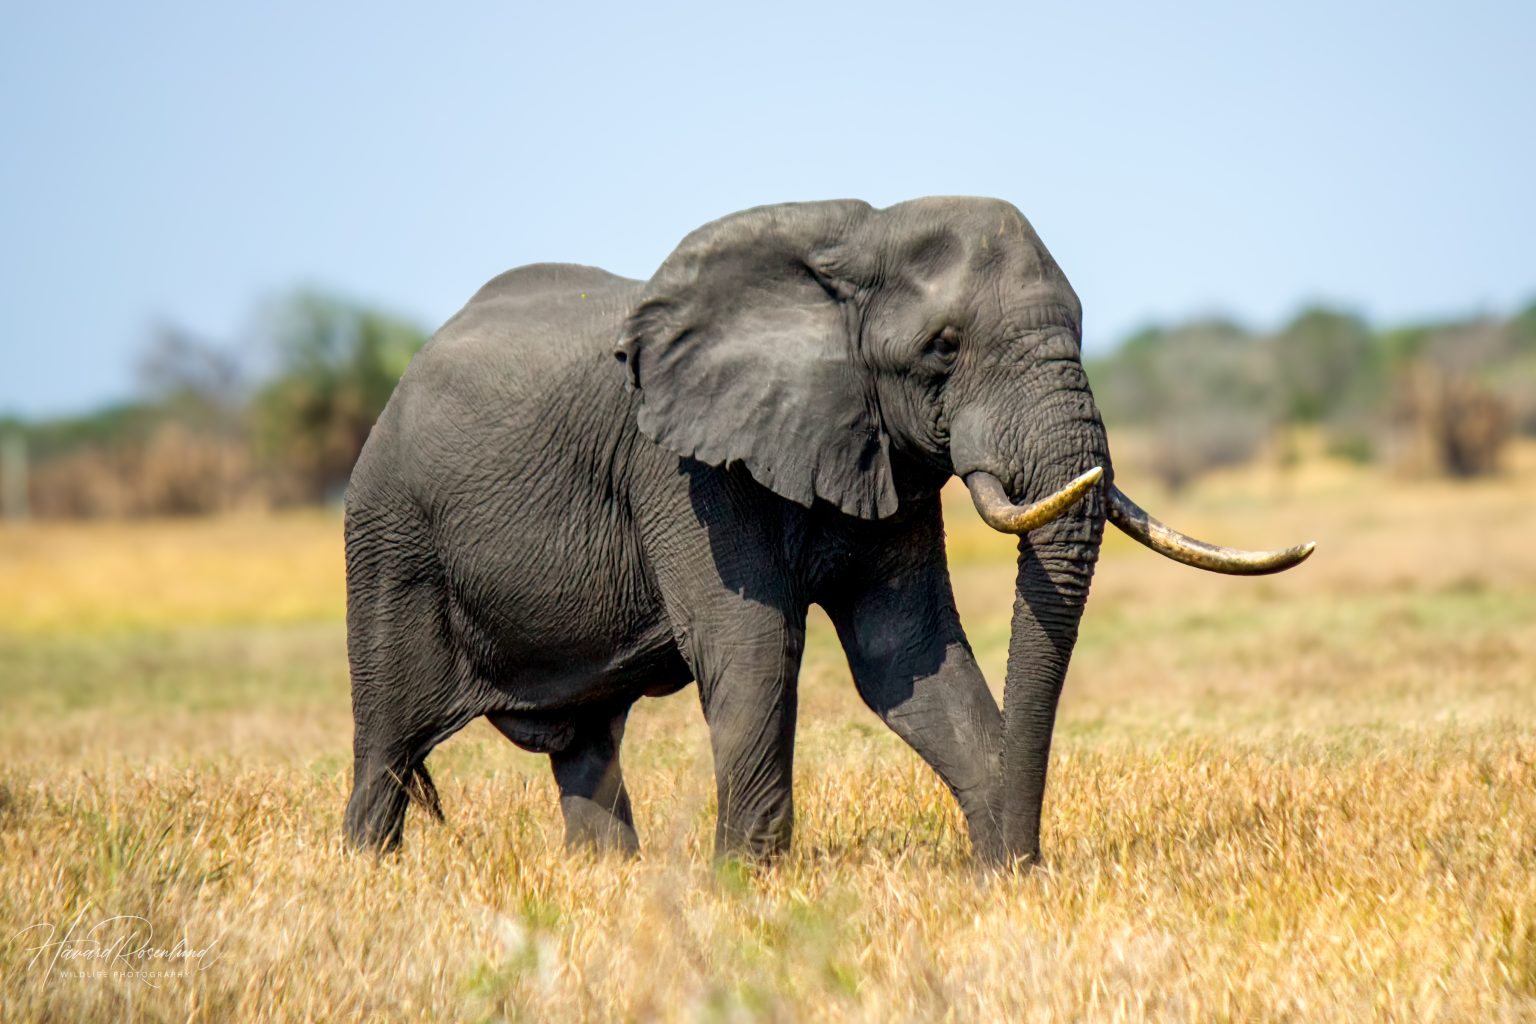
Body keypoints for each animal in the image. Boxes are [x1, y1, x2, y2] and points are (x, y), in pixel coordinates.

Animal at [342, 197, 1312, 864]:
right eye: (943, 347)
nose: (1026, 859)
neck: (857, 242)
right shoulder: (682, 470)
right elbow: (753, 647)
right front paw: (744, 888)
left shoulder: (884, 454)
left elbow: (906, 655)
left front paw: (1004, 880)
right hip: (390, 536)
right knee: (386, 747)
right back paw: (370, 877)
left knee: (584, 749)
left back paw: (604, 880)